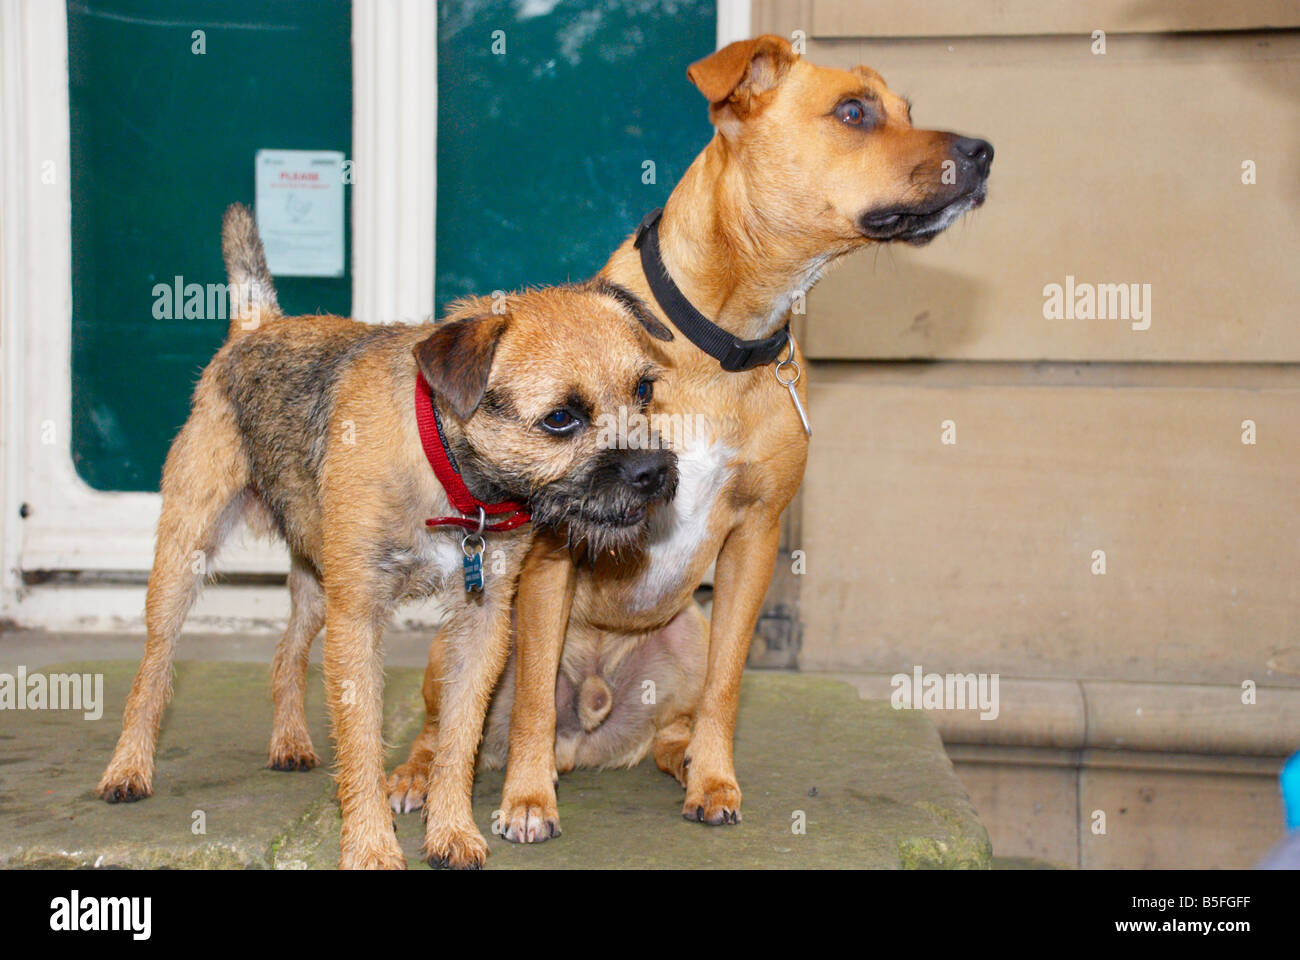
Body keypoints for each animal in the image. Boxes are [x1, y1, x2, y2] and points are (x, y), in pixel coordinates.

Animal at [94, 201, 676, 868]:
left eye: (644, 390)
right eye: (561, 418)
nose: (655, 472)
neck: (445, 471)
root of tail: (255, 327)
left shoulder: (481, 624)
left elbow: (458, 738)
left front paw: (451, 831)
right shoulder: (358, 620)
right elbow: (362, 744)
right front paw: (371, 844)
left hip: (316, 578)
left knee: (286, 650)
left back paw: (289, 740)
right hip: (184, 557)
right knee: (154, 667)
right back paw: (129, 768)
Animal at [384, 33, 993, 837]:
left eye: (906, 110)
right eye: (853, 113)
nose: (985, 152)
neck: (723, 344)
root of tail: (590, 727)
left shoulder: (755, 540)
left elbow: (727, 689)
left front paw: (714, 779)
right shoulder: (549, 553)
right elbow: (533, 701)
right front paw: (527, 798)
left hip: (687, 632)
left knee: (675, 717)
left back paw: (679, 757)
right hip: (464, 636)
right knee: (452, 721)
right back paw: (422, 774)